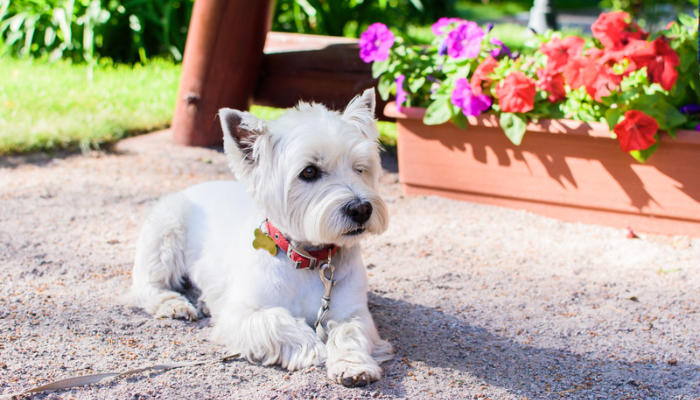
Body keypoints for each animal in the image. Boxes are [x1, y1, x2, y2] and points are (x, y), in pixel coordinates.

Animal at [127, 89, 394, 386]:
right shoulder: (239, 315)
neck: (307, 259)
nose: (361, 209)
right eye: (309, 171)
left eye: (360, 168)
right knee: (148, 285)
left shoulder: (352, 310)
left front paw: (353, 366)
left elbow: (350, 331)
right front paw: (314, 348)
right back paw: (174, 304)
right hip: (164, 233)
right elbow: (278, 321)